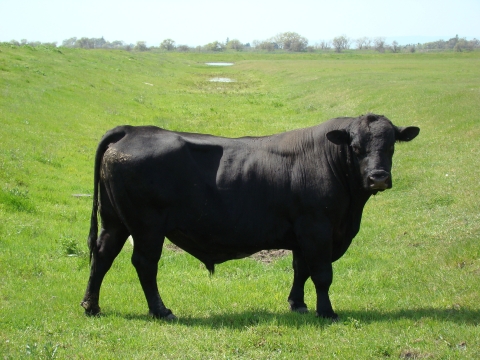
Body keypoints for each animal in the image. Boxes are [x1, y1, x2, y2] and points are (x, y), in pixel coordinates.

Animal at [82, 114, 420, 320]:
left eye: (391, 145)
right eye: (357, 147)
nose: (378, 177)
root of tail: (132, 129)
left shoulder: (302, 231)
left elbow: (301, 270)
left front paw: (297, 304)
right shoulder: (318, 228)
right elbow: (322, 274)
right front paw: (327, 312)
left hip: (115, 221)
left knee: (102, 255)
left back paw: (91, 306)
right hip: (147, 226)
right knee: (144, 264)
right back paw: (161, 310)